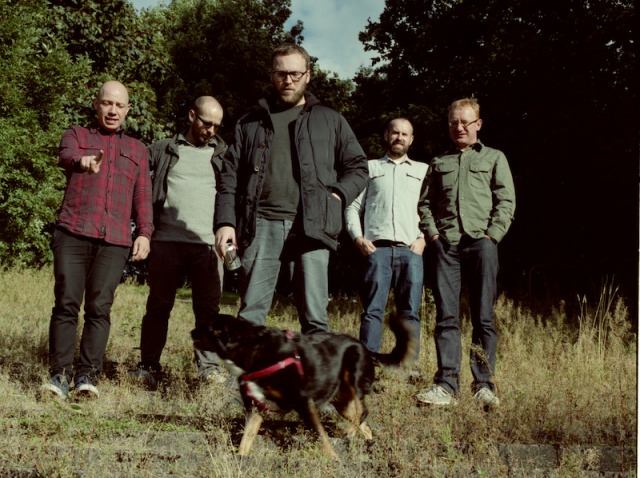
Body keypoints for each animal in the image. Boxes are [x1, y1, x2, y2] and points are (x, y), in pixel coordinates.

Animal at [191, 314, 416, 461]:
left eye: (204, 328)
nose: (191, 332)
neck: (252, 348)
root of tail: (366, 348)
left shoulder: (304, 402)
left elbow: (321, 435)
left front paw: (334, 460)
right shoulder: (255, 407)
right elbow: (246, 439)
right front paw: (241, 461)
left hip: (353, 378)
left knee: (362, 412)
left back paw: (348, 436)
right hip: (342, 402)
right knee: (363, 421)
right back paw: (365, 444)